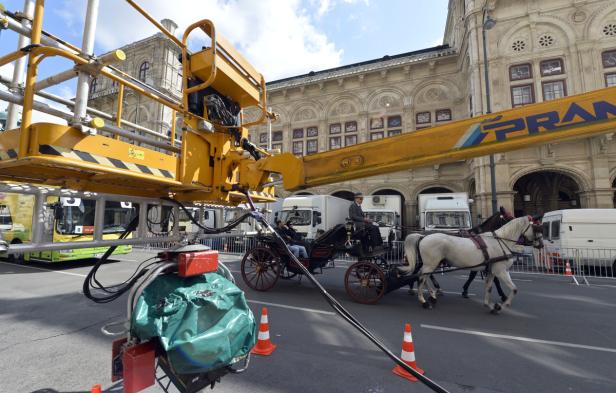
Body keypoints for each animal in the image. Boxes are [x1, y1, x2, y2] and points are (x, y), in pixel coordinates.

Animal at [402, 214, 540, 312]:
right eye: (536, 227)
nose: (541, 244)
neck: (499, 241)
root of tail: (423, 236)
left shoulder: (491, 270)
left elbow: (488, 286)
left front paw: (489, 304)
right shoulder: (500, 270)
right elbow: (513, 289)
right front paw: (502, 304)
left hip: (431, 264)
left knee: (423, 276)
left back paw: (431, 295)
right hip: (430, 264)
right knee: (421, 277)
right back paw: (424, 301)